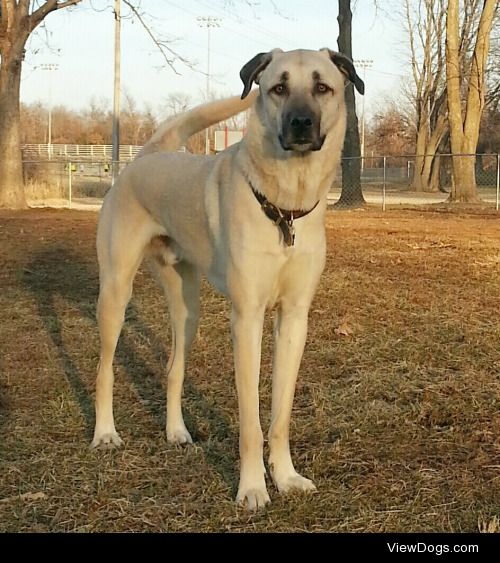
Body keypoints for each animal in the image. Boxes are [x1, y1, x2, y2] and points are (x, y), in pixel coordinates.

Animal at [92, 48, 364, 512]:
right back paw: (106, 433)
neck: (286, 204)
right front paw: (253, 488)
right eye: (278, 87)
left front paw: (286, 477)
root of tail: (146, 158)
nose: (300, 123)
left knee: (173, 369)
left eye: (323, 87)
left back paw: (177, 432)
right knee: (104, 369)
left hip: (188, 310)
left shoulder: (294, 319)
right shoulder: (247, 320)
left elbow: (280, 415)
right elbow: (251, 422)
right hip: (115, 293)